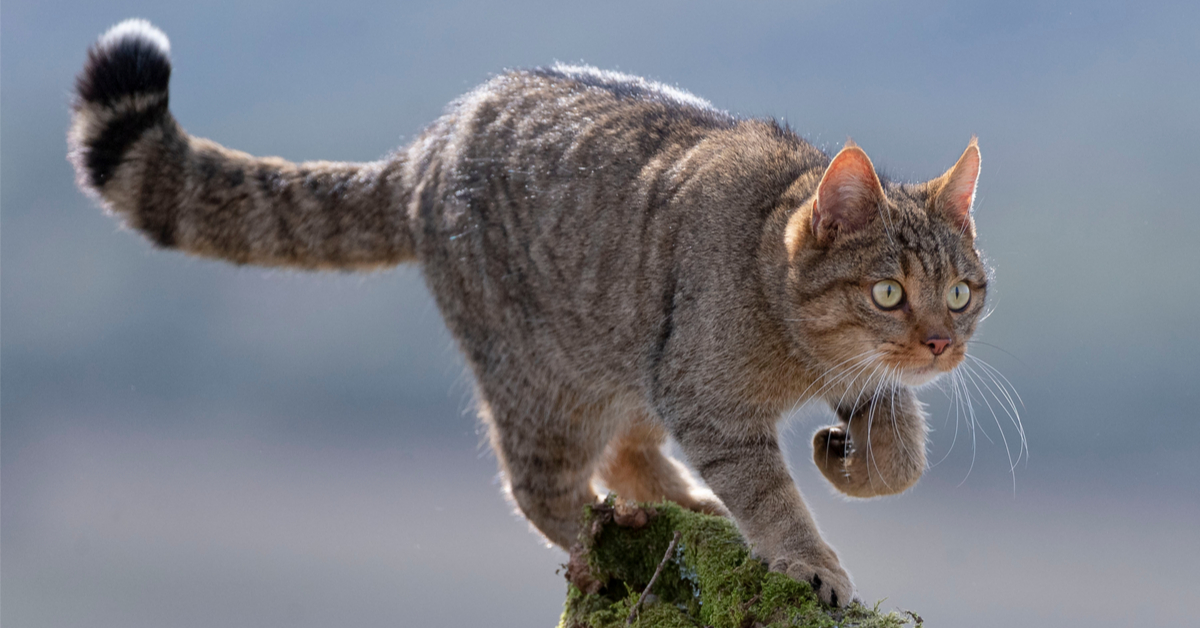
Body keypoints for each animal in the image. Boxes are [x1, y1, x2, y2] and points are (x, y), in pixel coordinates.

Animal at [70, 19, 998, 607]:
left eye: (962, 291)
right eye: (887, 292)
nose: (940, 344)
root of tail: (430, 143)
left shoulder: (809, 381)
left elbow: (902, 454)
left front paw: (850, 455)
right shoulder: (705, 396)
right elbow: (770, 492)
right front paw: (810, 559)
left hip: (617, 356)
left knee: (626, 452)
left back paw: (685, 507)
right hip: (547, 382)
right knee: (540, 488)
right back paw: (599, 541)